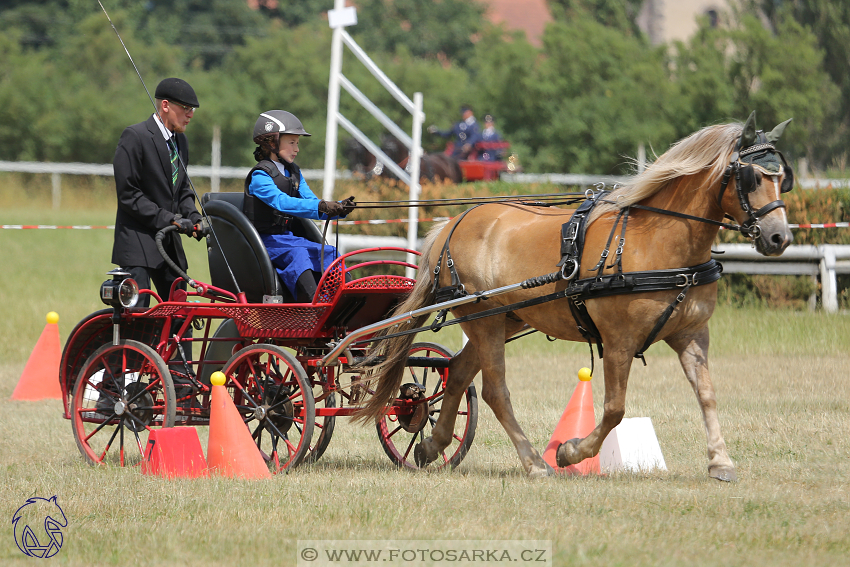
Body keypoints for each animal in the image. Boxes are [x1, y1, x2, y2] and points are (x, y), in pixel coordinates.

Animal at [354, 113, 792, 482]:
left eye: (783, 177)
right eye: (752, 178)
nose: (779, 237)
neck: (658, 240)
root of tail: (456, 221)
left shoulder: (692, 334)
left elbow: (707, 395)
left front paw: (720, 461)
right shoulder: (618, 340)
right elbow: (615, 409)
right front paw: (570, 452)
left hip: (505, 318)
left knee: (459, 372)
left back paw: (433, 444)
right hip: (485, 318)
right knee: (495, 391)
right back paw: (534, 462)